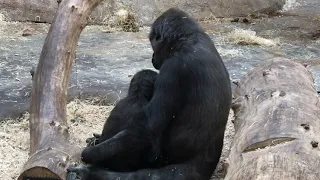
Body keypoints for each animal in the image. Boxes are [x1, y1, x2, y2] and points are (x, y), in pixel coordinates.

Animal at [68, 7, 232, 180]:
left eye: (153, 45)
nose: (153, 57)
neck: (187, 38)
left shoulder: (173, 68)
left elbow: (148, 126)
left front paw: (90, 153)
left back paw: (91, 172)